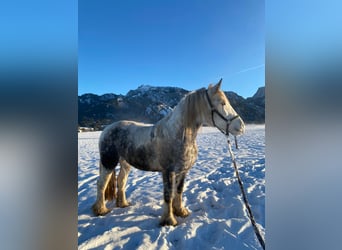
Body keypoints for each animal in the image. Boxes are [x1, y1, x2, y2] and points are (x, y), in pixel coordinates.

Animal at [92, 79, 244, 226]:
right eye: (222, 103)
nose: (241, 127)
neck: (177, 135)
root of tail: (106, 129)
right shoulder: (168, 171)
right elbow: (168, 194)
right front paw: (169, 220)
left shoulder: (183, 171)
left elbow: (179, 190)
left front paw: (181, 211)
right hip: (109, 162)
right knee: (101, 183)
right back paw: (100, 210)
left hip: (125, 163)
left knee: (121, 181)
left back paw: (122, 204)